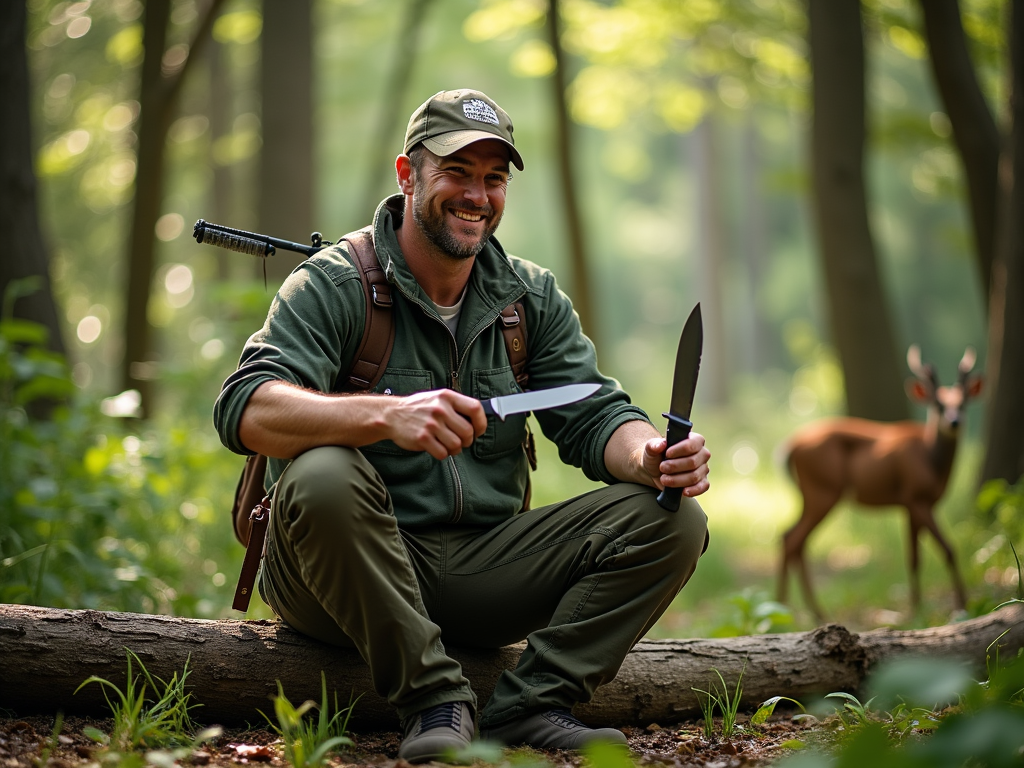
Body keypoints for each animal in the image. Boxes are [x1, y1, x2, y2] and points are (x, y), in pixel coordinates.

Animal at [774, 346, 983, 622]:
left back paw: (796, 609)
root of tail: (790, 447)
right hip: (822, 490)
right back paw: (794, 608)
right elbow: (948, 548)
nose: (954, 422)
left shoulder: (910, 505)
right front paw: (962, 605)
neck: (930, 460)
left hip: (811, 493)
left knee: (791, 538)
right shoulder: (916, 497)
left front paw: (916, 608)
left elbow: (914, 557)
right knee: (793, 539)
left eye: (963, 402)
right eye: (938, 404)